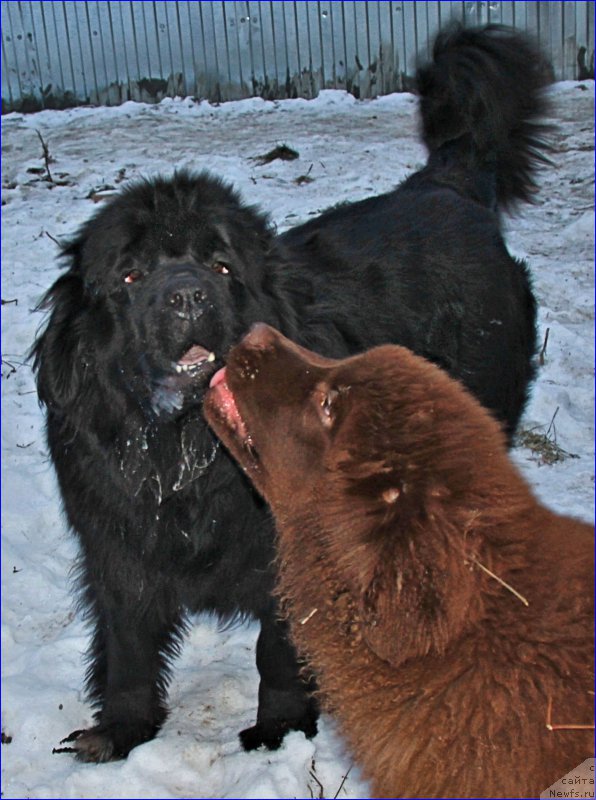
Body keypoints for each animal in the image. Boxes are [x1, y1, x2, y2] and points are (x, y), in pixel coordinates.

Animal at [31, 25, 548, 764]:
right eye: (130, 276)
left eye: (222, 267)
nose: (187, 295)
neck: (185, 454)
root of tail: (449, 189)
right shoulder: (119, 545)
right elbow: (128, 647)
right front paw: (122, 732)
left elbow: (276, 652)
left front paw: (278, 730)